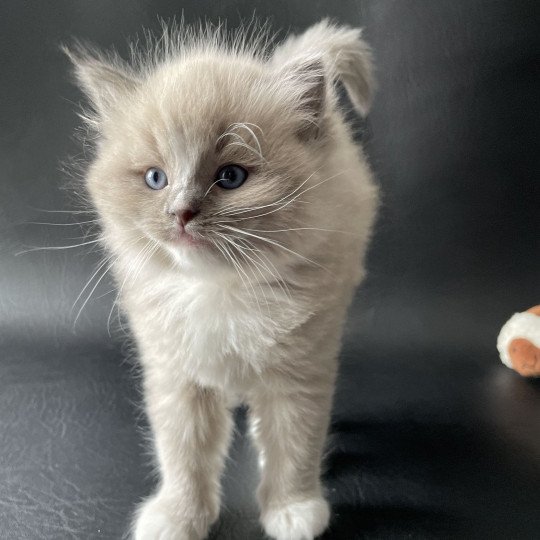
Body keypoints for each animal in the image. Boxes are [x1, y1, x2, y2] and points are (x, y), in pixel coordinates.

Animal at [65, 19, 380, 536]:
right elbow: (183, 454)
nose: (180, 214)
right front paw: (178, 517)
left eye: (230, 177)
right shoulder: (177, 376)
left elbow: (295, 444)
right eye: (156, 179)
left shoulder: (299, 372)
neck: (220, 291)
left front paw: (292, 509)